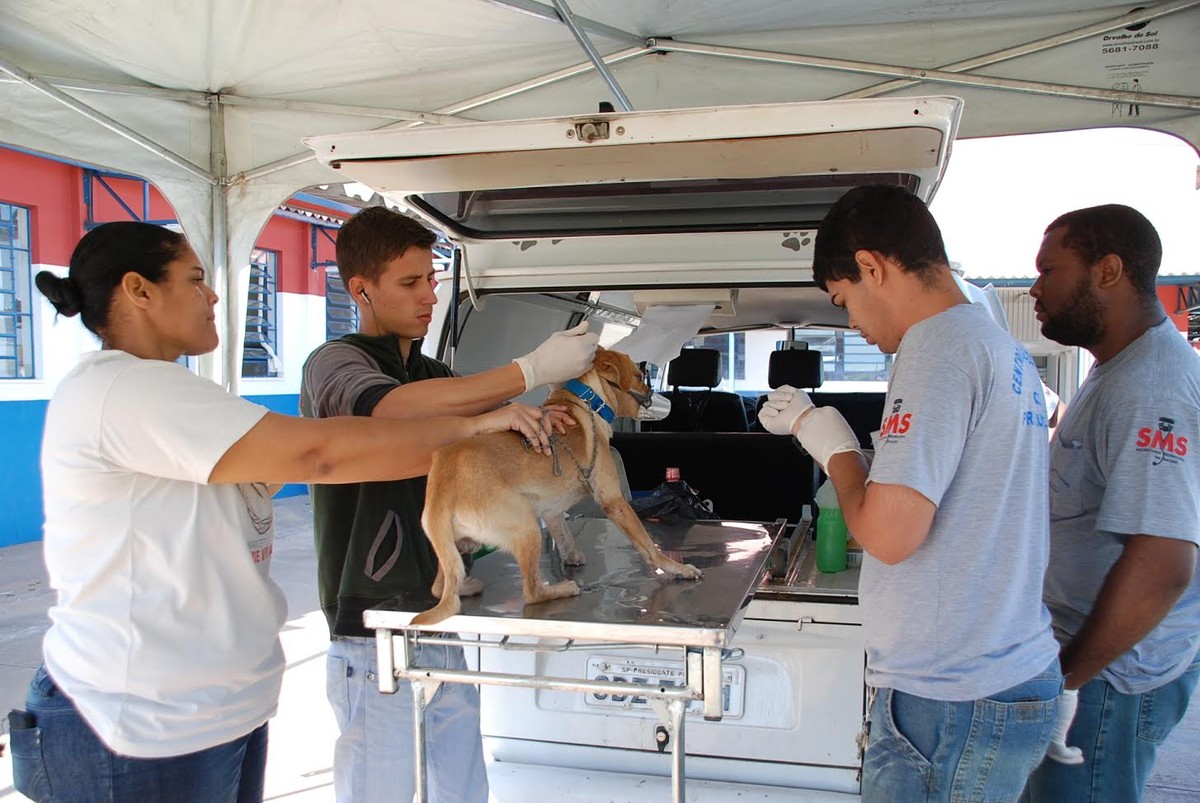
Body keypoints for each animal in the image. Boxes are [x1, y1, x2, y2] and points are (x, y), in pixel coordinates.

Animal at [415, 348, 700, 624]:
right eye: (640, 377)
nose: (655, 397)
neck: (588, 403)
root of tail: (442, 486)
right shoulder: (613, 500)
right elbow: (648, 545)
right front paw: (676, 568)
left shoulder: (552, 511)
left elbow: (563, 534)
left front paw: (572, 556)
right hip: (526, 528)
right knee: (531, 592)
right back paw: (562, 589)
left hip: (455, 548)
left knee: (440, 587)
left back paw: (467, 586)